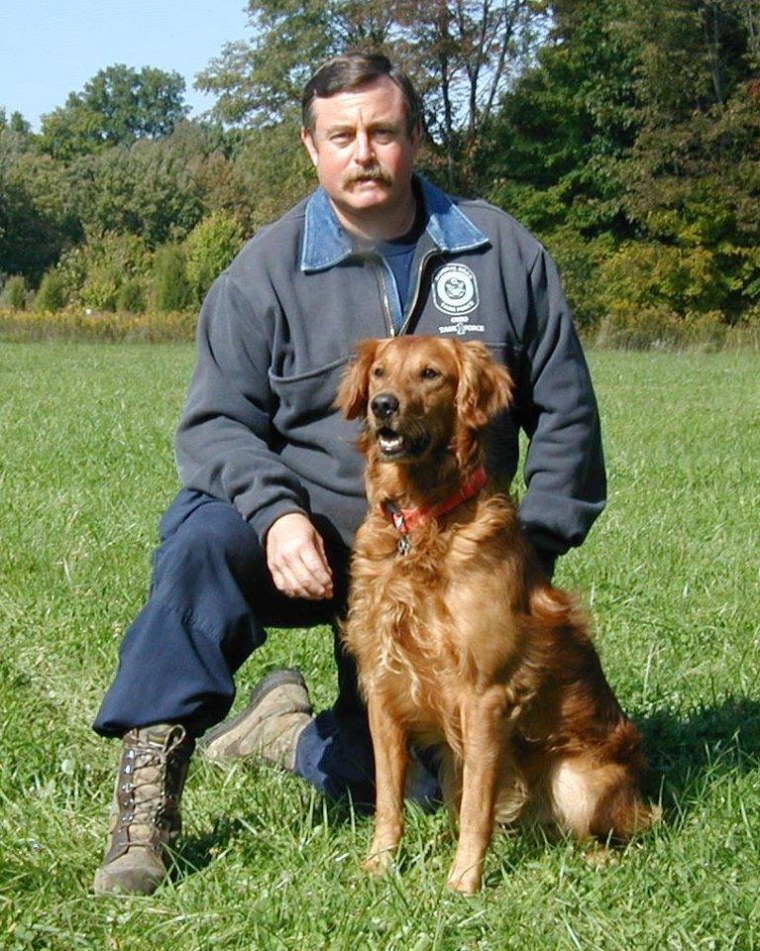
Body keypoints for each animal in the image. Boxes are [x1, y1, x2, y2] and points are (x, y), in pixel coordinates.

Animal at [336, 332, 656, 892]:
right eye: (379, 373)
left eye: (431, 374)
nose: (383, 407)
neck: (422, 521)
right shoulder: (384, 691)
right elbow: (389, 799)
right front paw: (379, 864)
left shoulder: (486, 695)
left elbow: (477, 810)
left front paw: (463, 882)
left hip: (576, 779)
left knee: (617, 834)